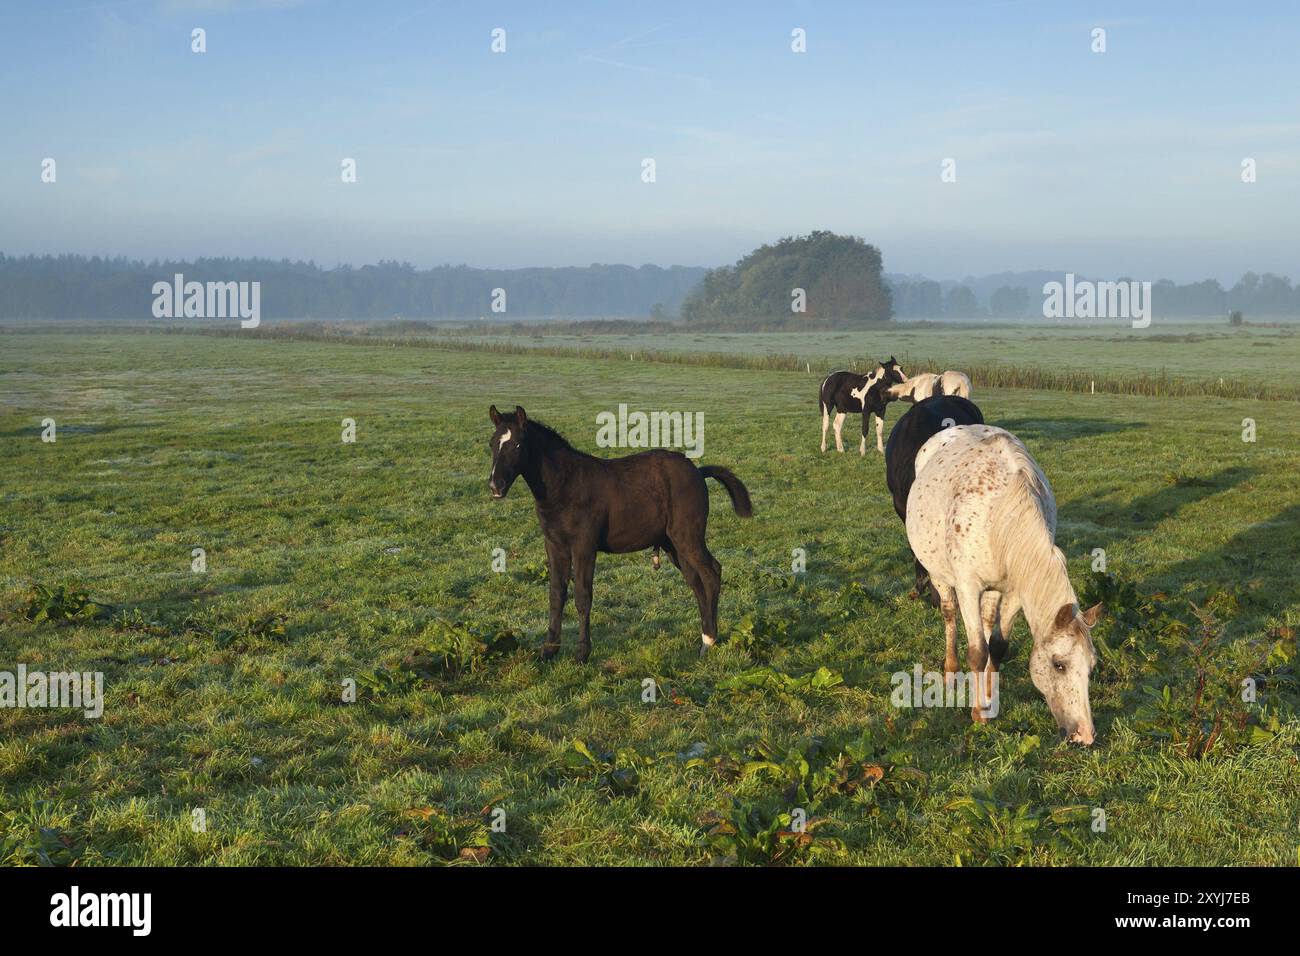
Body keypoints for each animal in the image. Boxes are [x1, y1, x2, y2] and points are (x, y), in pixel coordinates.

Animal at [487, 405, 753, 662]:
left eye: (518, 444)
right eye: (492, 444)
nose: (495, 486)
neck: (564, 485)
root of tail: (697, 471)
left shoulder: (584, 545)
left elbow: (583, 596)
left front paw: (582, 653)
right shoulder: (554, 545)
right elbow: (556, 594)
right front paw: (549, 650)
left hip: (688, 537)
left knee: (711, 574)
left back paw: (709, 643)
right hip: (673, 544)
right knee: (696, 583)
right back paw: (705, 639)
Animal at [905, 424, 1103, 743]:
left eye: (1091, 667)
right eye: (1058, 665)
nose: (1084, 734)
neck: (1000, 513)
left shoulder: (1014, 592)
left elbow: (996, 646)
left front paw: (988, 698)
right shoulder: (967, 586)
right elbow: (977, 651)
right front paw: (978, 714)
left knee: (987, 624)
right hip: (941, 576)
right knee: (949, 615)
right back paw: (950, 671)